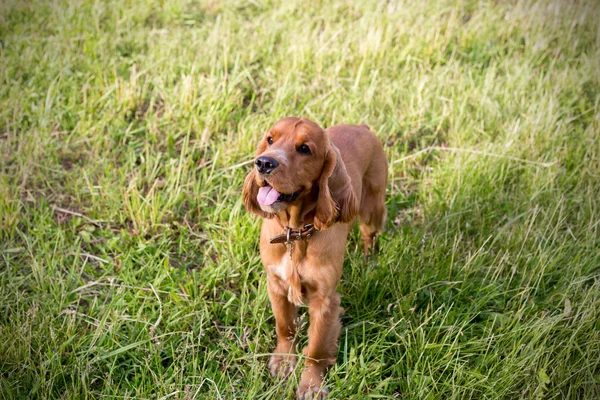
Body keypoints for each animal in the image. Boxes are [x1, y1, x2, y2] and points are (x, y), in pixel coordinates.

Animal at [244, 117, 390, 398]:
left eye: (304, 149)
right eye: (270, 139)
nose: (264, 163)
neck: (296, 233)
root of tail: (362, 127)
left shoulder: (325, 299)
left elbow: (317, 347)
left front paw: (311, 385)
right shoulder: (276, 283)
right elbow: (284, 326)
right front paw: (283, 361)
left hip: (373, 204)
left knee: (371, 236)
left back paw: (371, 263)